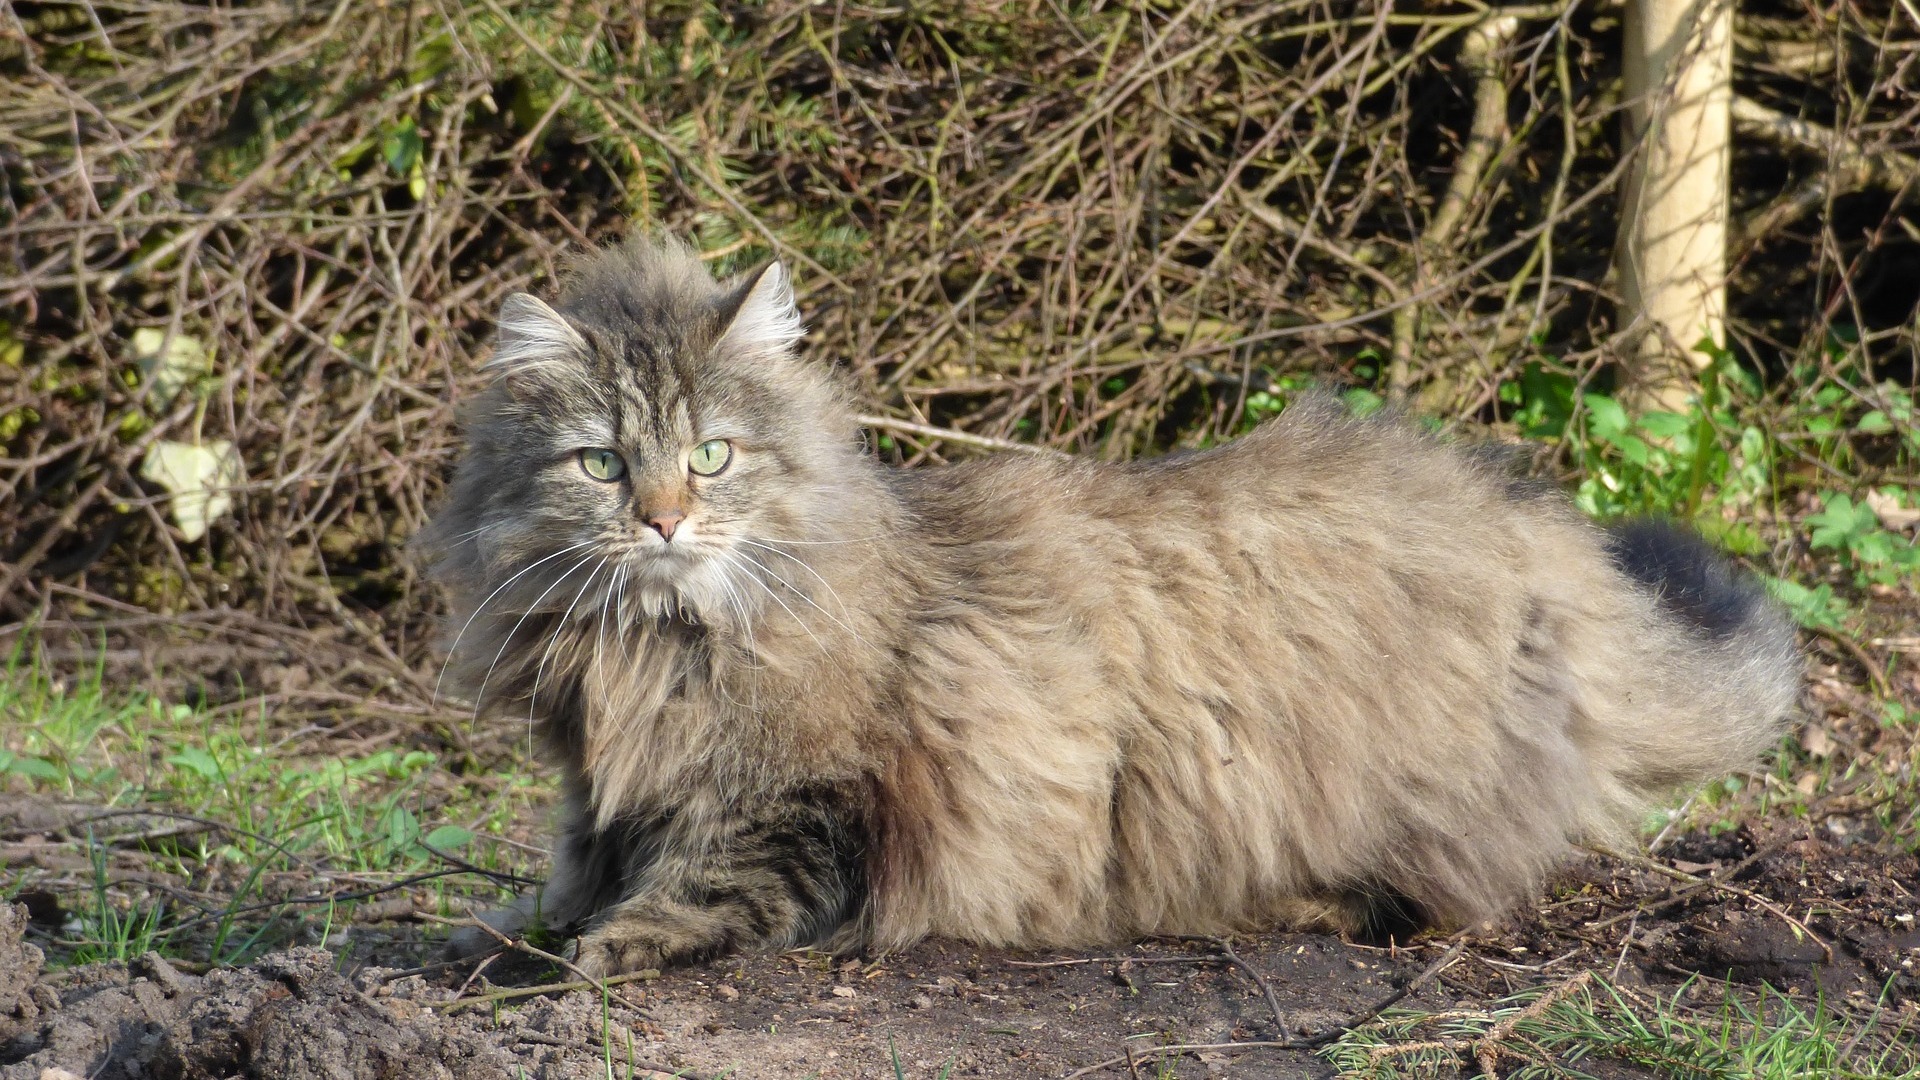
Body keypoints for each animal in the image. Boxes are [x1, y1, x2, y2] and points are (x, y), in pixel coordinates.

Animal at [420, 235, 1797, 976]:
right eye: (604, 464)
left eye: (709, 456)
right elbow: (566, 870)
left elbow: (699, 883)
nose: (661, 521)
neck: (648, 646)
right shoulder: (595, 785)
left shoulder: (806, 800)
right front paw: (495, 933)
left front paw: (608, 948)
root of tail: (1535, 537)